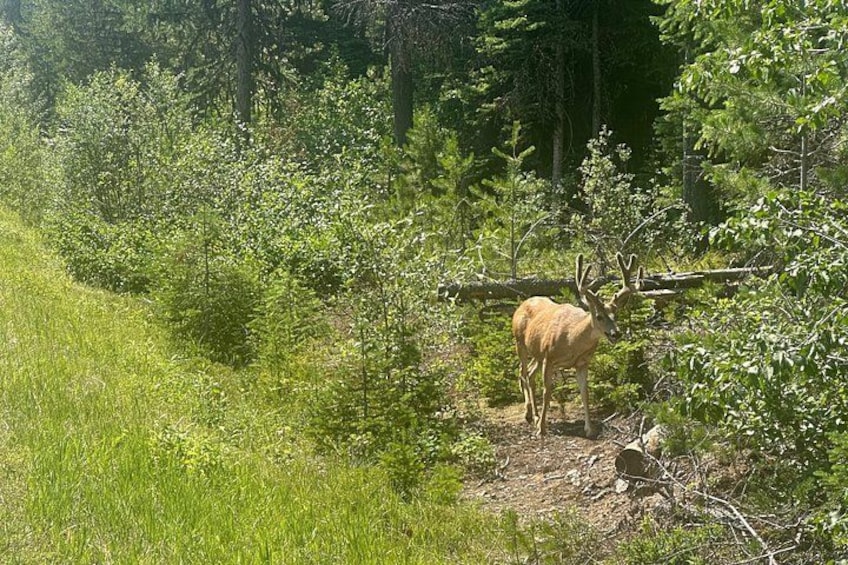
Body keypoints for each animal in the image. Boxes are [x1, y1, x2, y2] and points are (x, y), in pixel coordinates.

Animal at [512, 253, 643, 438]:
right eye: (599, 316)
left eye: (615, 315)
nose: (616, 333)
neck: (571, 341)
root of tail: (522, 304)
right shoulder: (549, 357)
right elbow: (547, 391)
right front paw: (542, 429)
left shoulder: (582, 362)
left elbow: (585, 392)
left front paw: (589, 429)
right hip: (520, 342)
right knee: (522, 372)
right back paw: (529, 414)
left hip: (537, 353)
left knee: (529, 374)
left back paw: (535, 415)